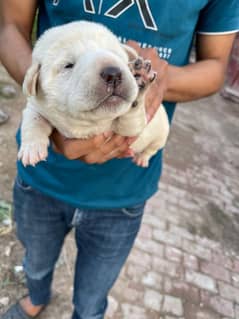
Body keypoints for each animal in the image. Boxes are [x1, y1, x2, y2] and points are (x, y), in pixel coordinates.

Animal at [18, 20, 169, 168]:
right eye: (68, 65)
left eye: (117, 55)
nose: (113, 74)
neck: (89, 124)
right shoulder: (37, 104)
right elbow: (33, 120)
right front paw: (31, 149)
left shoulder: (132, 129)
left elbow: (130, 118)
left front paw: (140, 82)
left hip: (161, 135)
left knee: (151, 149)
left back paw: (142, 158)